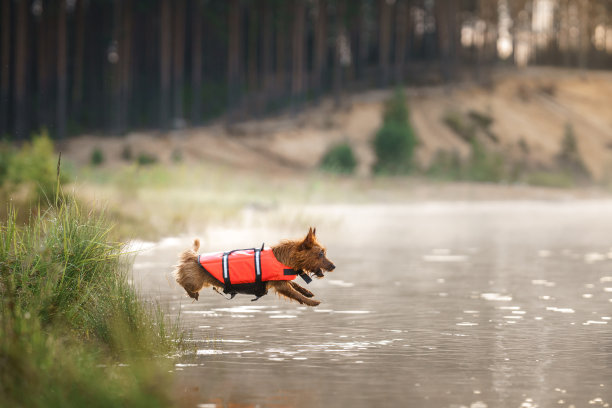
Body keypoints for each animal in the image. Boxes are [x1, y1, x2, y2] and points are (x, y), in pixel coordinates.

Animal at [172, 226, 334, 306]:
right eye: (321, 254)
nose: (333, 266)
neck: (284, 258)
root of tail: (192, 256)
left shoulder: (279, 279)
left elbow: (296, 286)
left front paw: (308, 292)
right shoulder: (280, 285)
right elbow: (295, 293)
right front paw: (312, 302)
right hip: (194, 282)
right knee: (180, 281)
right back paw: (192, 294)